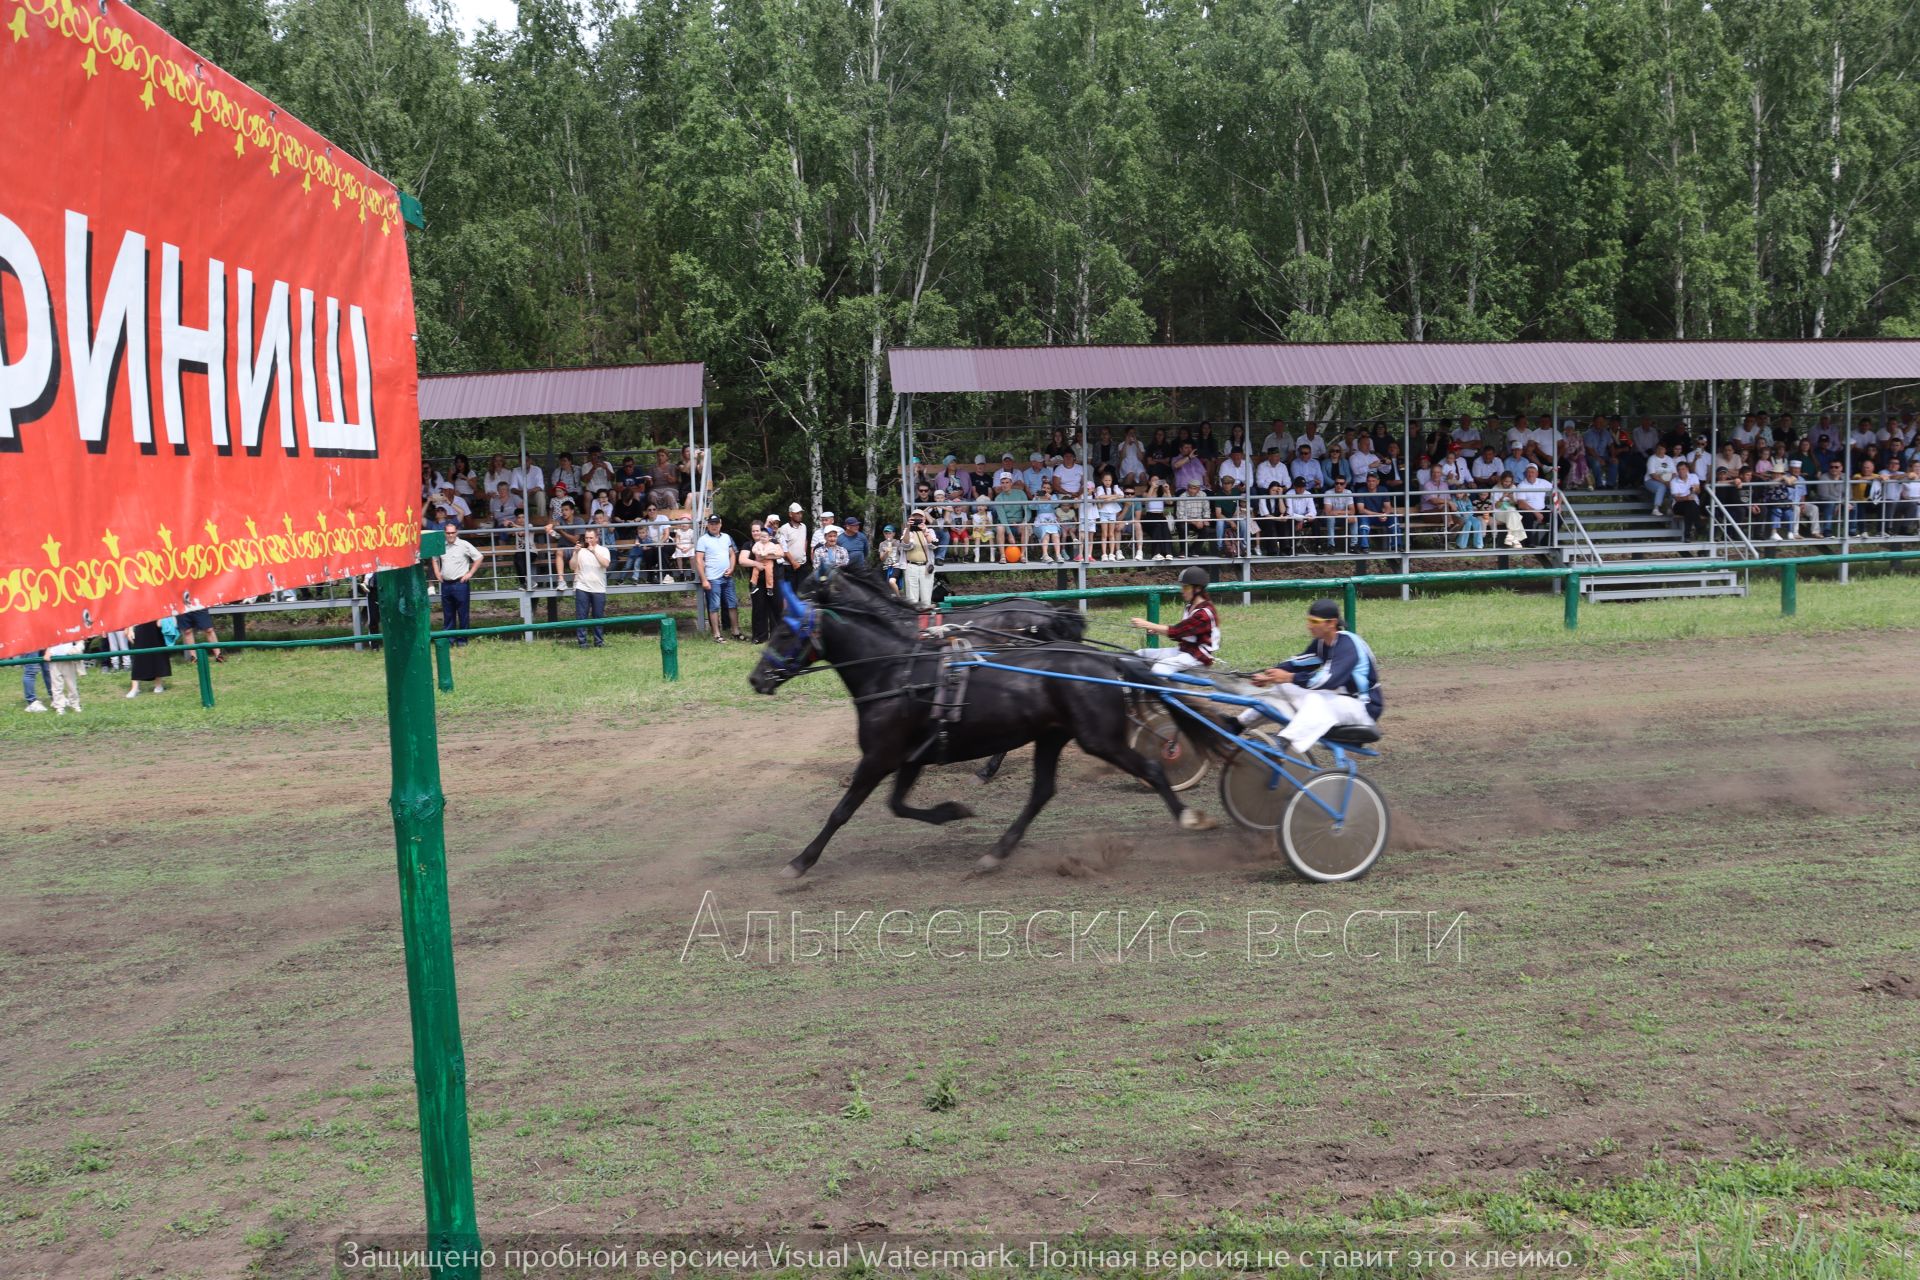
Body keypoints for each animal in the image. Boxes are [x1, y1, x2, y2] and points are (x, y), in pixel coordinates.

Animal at [744, 564, 1213, 875]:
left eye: (785, 631)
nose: (756, 678)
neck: (895, 669)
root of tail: (1104, 660)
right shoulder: (910, 755)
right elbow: (897, 806)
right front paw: (953, 811)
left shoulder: (880, 756)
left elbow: (842, 811)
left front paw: (801, 862)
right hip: (1053, 735)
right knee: (1042, 792)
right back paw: (996, 848)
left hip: (1098, 738)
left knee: (1151, 767)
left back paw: (1188, 815)